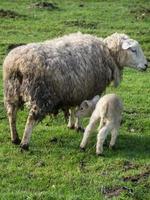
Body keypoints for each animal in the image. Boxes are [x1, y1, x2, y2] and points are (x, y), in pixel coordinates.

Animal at [3, 31, 148, 150]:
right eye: (133, 50)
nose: (146, 65)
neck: (108, 53)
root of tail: (17, 65)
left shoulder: (75, 90)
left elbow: (74, 108)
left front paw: (71, 124)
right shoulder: (90, 90)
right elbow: (83, 108)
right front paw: (79, 126)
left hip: (11, 93)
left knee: (11, 115)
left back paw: (15, 138)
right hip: (41, 96)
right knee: (31, 119)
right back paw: (24, 143)